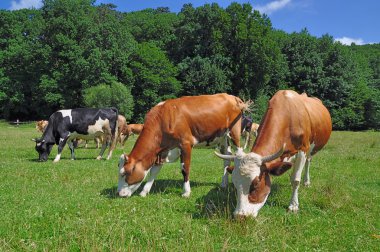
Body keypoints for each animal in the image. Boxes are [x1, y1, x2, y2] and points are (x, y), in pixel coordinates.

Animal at [118, 93, 249, 198]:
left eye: (124, 173)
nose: (119, 194)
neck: (163, 118)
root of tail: (232, 97)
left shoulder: (185, 143)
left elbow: (185, 169)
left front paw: (186, 192)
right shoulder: (163, 150)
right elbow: (154, 171)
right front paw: (144, 192)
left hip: (234, 133)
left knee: (239, 154)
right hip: (222, 138)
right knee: (227, 157)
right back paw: (223, 183)